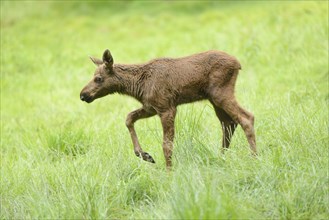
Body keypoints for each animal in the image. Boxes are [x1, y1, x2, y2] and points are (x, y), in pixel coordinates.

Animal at [80, 49, 256, 168]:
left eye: (98, 78)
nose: (83, 94)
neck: (138, 86)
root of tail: (238, 64)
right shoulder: (151, 107)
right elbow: (129, 118)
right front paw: (144, 155)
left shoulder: (167, 107)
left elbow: (167, 145)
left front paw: (169, 172)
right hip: (214, 99)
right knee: (229, 123)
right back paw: (221, 158)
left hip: (220, 93)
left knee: (246, 117)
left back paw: (254, 157)